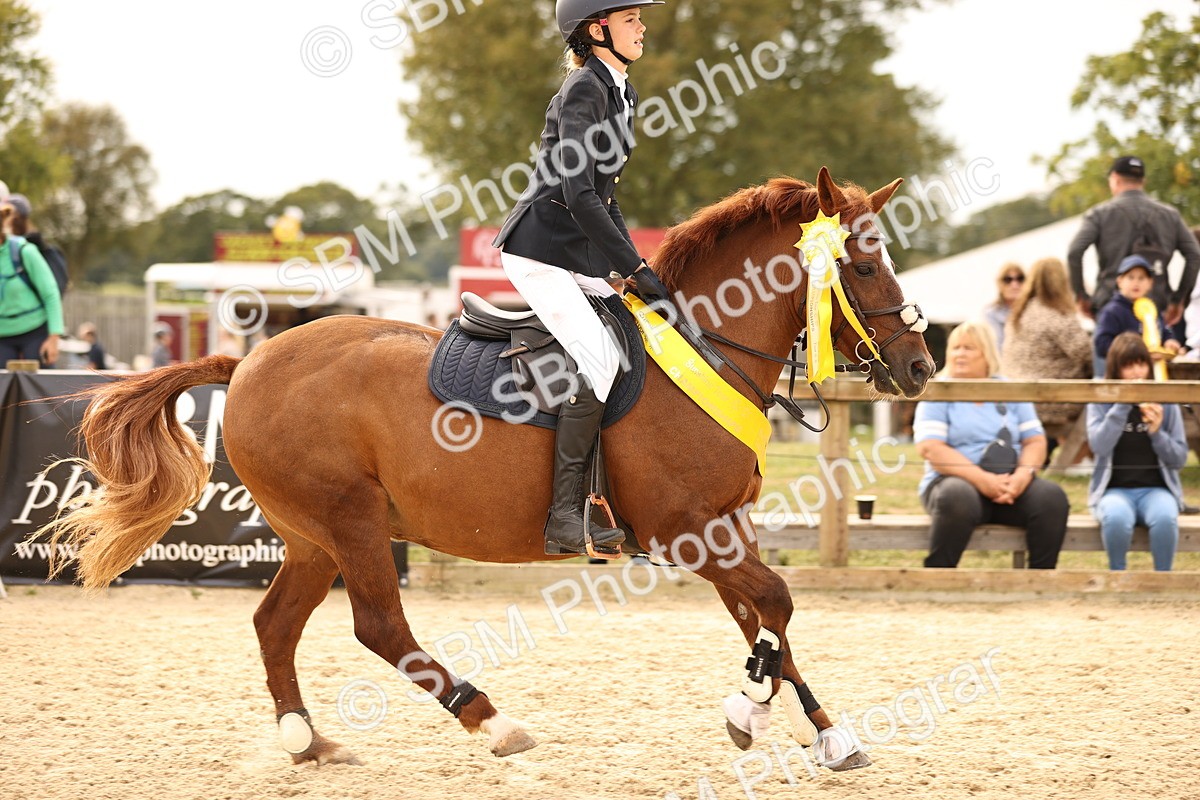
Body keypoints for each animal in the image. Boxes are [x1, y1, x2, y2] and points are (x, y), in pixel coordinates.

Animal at [41, 168, 933, 771]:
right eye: (862, 267)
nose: (920, 367)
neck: (702, 346)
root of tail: (249, 359)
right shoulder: (687, 530)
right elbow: (775, 604)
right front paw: (752, 712)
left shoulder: (725, 527)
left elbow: (765, 625)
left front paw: (822, 731)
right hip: (351, 522)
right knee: (379, 627)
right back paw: (492, 721)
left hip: (312, 536)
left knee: (275, 624)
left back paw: (307, 741)